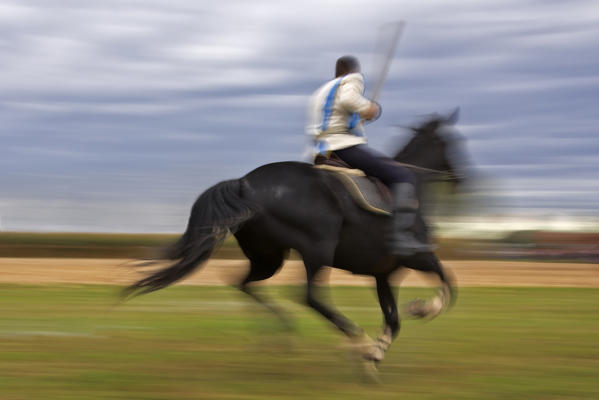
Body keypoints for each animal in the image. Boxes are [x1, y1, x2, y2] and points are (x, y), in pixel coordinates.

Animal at [125, 109, 464, 366]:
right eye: (454, 141)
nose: (462, 179)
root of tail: (244, 183)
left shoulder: (384, 274)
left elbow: (394, 319)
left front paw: (376, 355)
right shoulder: (418, 256)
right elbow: (448, 283)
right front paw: (422, 309)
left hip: (269, 257)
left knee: (244, 284)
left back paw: (280, 333)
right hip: (317, 250)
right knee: (308, 296)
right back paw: (354, 338)